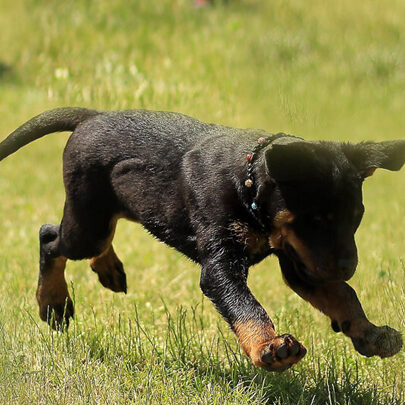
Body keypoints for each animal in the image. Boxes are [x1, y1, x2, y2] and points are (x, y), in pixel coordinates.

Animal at [0, 106, 404, 370]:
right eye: (316, 220)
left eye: (357, 218)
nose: (349, 267)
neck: (247, 184)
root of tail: (91, 117)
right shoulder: (222, 264)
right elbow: (245, 305)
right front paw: (269, 347)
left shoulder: (300, 261)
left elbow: (343, 295)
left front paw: (369, 333)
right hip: (89, 223)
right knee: (50, 238)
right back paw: (52, 303)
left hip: (111, 210)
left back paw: (108, 269)